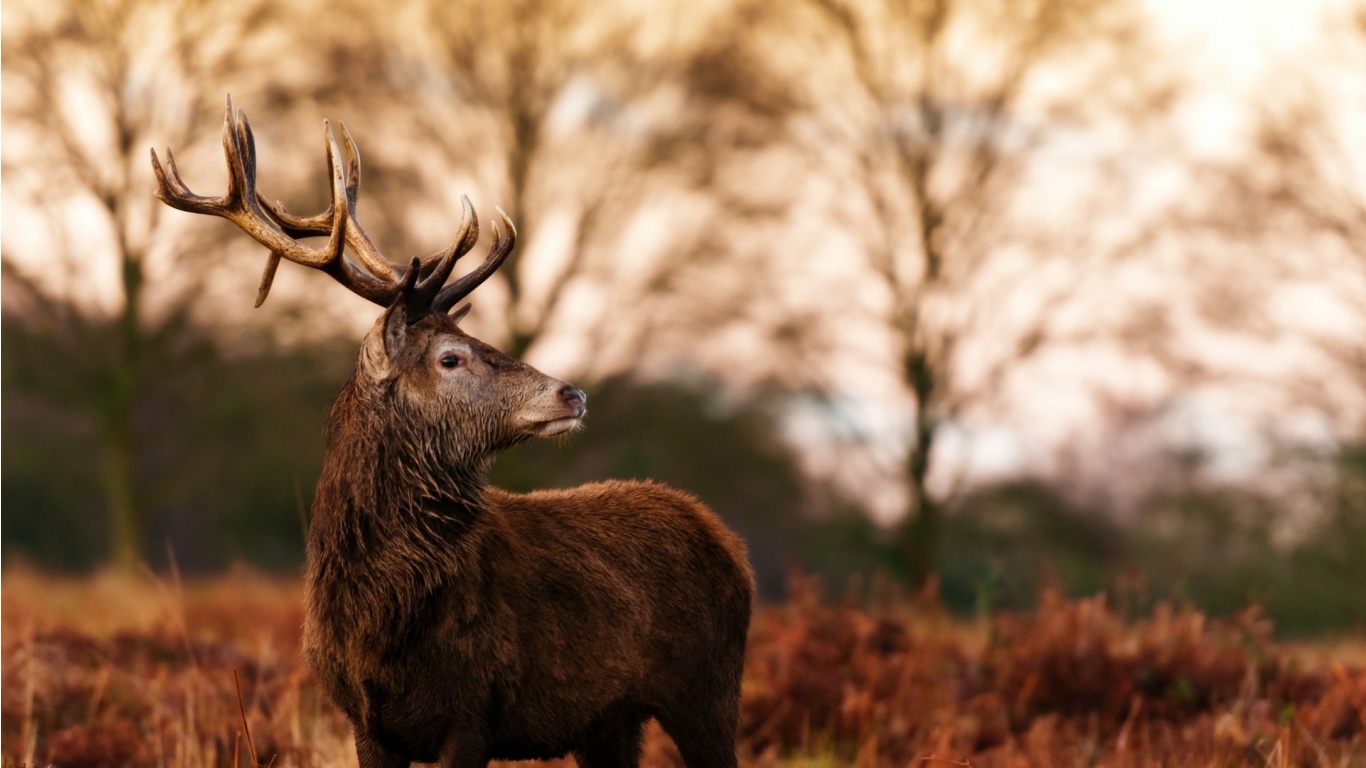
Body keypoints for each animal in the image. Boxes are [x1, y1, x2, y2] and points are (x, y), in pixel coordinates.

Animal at [150, 97, 754, 768]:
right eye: (450, 357)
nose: (572, 393)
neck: (383, 629)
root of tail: (726, 540)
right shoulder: (365, 720)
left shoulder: (474, 711)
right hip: (612, 721)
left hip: (709, 692)